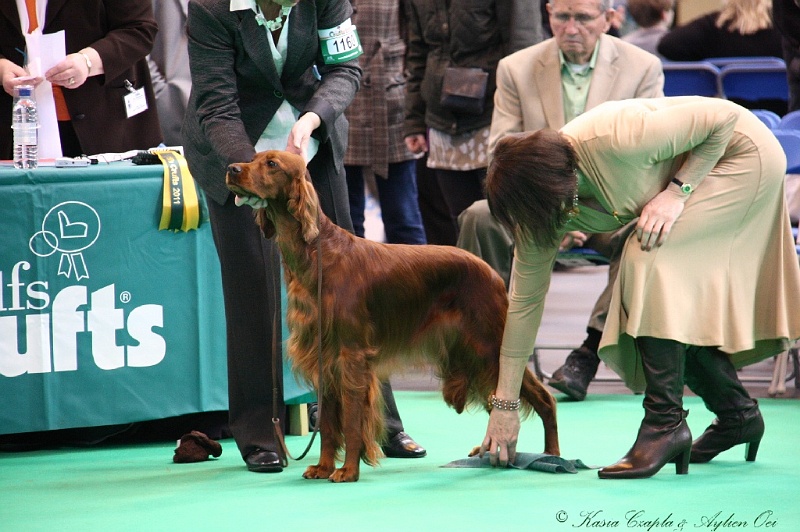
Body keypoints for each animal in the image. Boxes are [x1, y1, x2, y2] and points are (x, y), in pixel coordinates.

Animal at [227, 151, 556, 482]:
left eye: (272, 164)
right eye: (254, 158)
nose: (231, 169)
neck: (318, 255)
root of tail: (491, 271)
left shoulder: (352, 355)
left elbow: (351, 421)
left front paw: (348, 471)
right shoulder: (325, 359)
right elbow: (329, 426)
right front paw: (323, 467)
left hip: (490, 345)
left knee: (543, 398)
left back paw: (552, 456)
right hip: (476, 355)